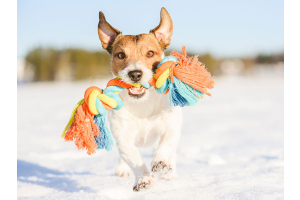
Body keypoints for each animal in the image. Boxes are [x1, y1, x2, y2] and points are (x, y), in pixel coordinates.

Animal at [97, 7, 182, 192]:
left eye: (150, 53)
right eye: (120, 55)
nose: (135, 74)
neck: (142, 103)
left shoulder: (171, 125)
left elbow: (166, 145)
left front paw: (161, 163)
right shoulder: (123, 137)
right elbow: (133, 158)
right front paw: (143, 179)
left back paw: (170, 171)